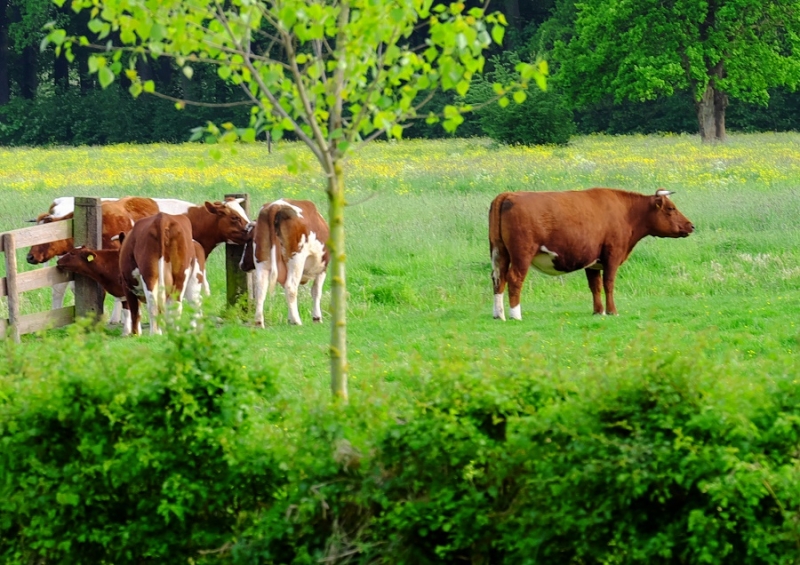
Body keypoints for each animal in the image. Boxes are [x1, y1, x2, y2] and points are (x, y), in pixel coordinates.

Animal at [488, 188, 692, 320]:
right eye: (671, 208)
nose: (691, 226)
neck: (626, 212)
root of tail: (509, 194)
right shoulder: (612, 256)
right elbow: (608, 284)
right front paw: (612, 311)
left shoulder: (593, 261)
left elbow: (595, 286)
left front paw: (598, 311)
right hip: (522, 254)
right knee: (515, 279)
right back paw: (515, 315)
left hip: (500, 254)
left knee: (498, 279)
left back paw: (499, 314)